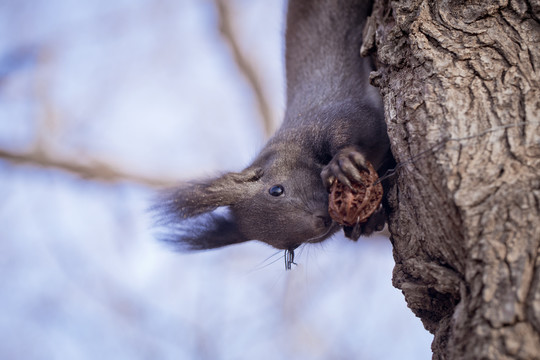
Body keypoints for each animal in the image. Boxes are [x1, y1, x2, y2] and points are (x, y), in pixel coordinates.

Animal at [156, 0, 392, 255]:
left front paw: (342, 162)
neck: (292, 143)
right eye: (292, 247)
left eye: (276, 190)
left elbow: (362, 124)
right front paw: (367, 223)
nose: (322, 222)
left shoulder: (328, 116)